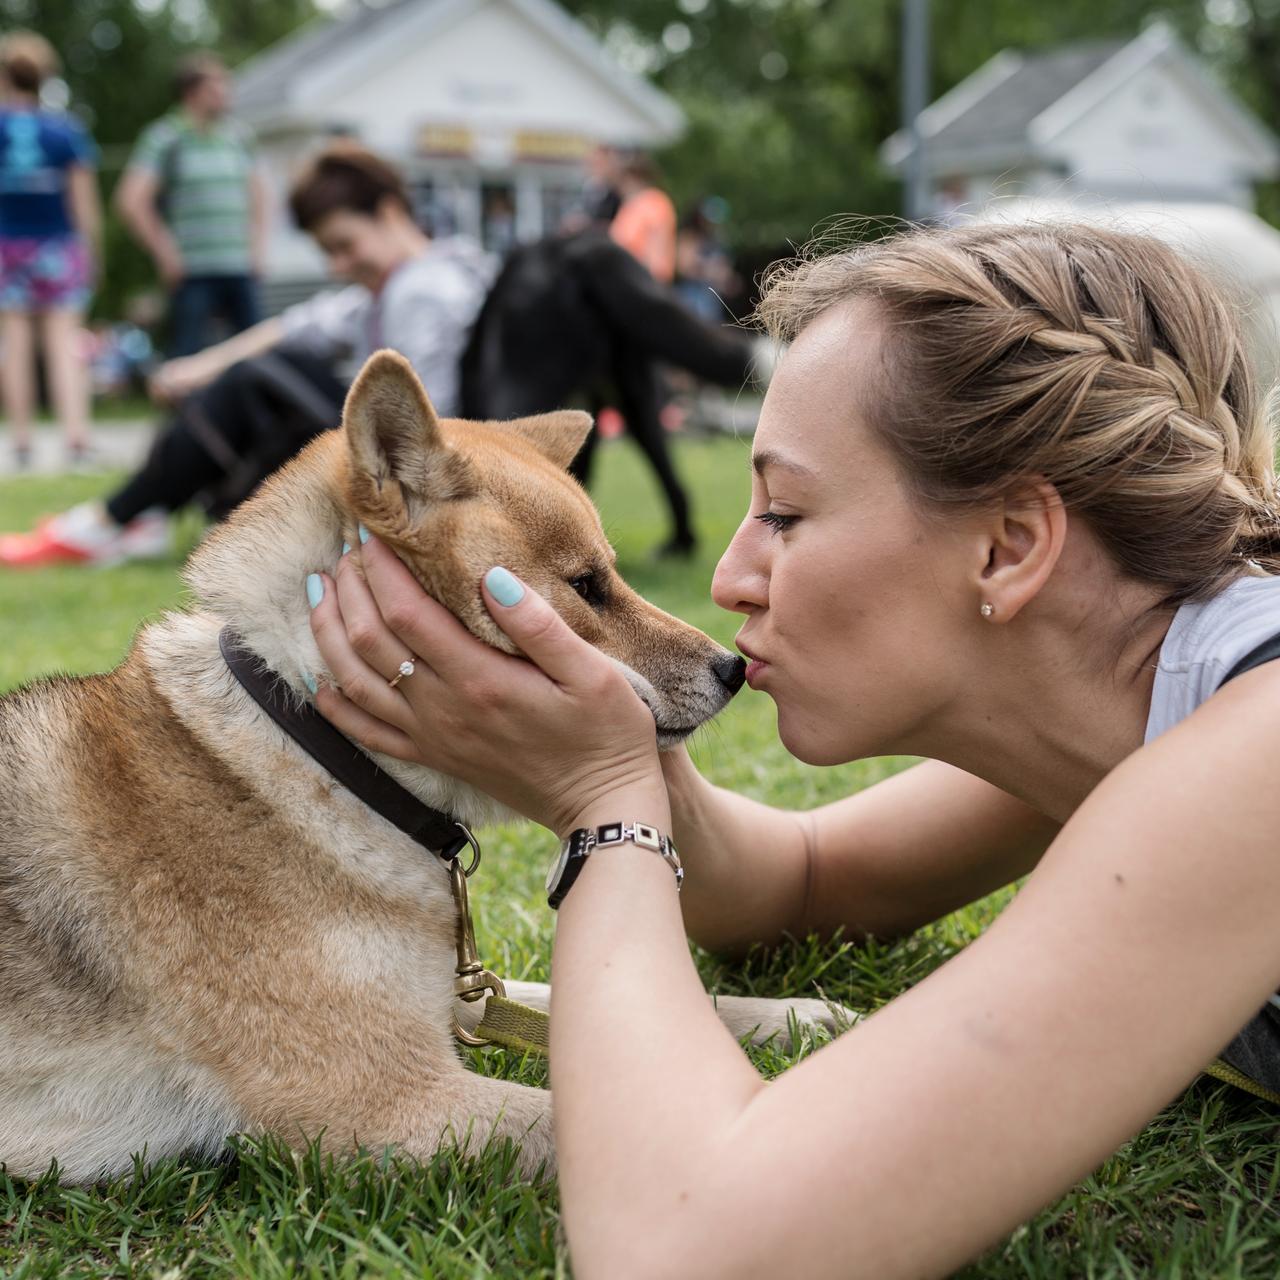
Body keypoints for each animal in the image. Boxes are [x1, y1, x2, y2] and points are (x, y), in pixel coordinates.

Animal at [2, 348, 849, 1177]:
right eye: (586, 586)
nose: (733, 668)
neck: (319, 746)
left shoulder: (451, 996)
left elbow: (643, 1004)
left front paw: (795, 1014)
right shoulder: (380, 1101)